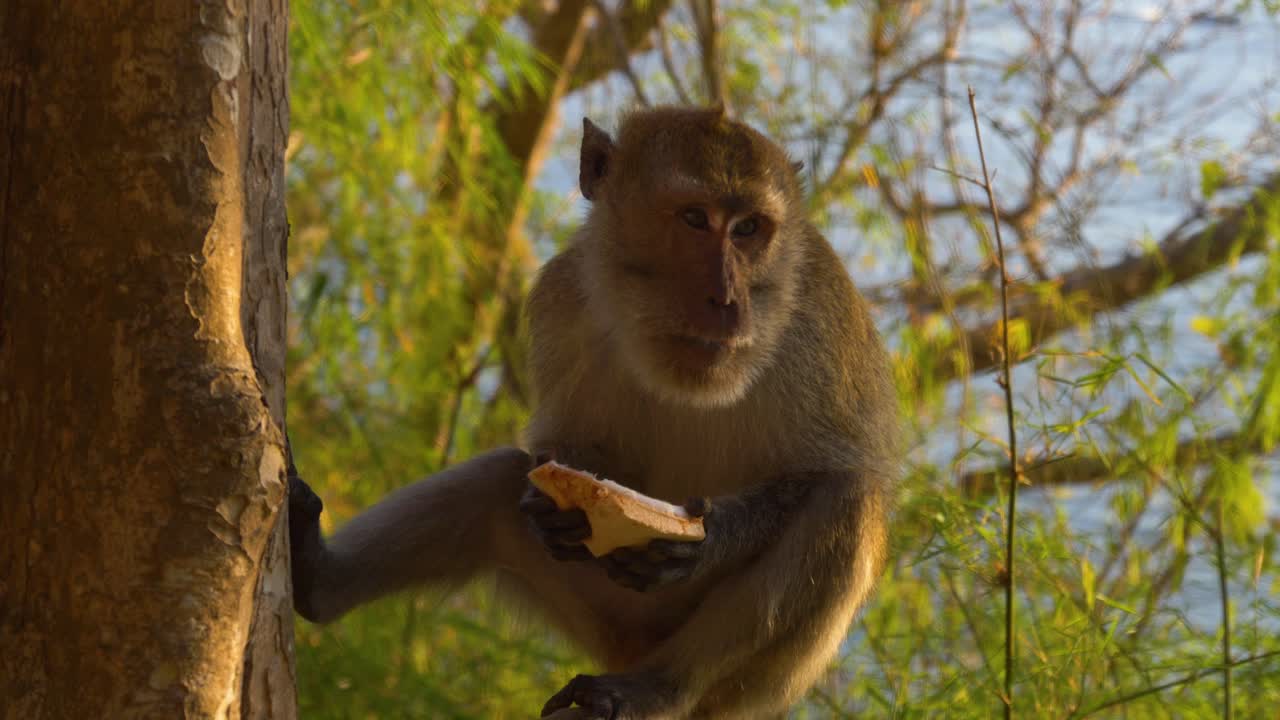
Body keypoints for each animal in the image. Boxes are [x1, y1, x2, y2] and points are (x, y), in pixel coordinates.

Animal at [288, 105, 899, 720]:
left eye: (749, 228)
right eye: (695, 218)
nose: (728, 301)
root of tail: (629, 651)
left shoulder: (816, 336)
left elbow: (822, 475)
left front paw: (705, 541)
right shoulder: (564, 302)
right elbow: (564, 452)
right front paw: (551, 505)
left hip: (753, 683)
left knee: (846, 503)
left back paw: (655, 689)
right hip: (600, 610)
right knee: (496, 480)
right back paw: (319, 580)